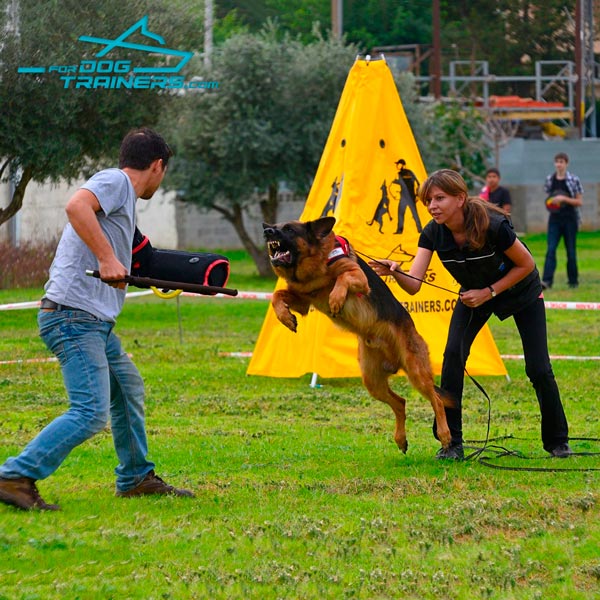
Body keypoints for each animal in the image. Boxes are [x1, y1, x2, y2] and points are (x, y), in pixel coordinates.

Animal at [262, 218, 450, 452]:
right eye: (276, 226)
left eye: (288, 229)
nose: (266, 230)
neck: (316, 266)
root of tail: (394, 361)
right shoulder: (304, 300)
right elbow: (277, 296)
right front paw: (285, 317)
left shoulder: (358, 276)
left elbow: (342, 277)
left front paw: (336, 299)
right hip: (372, 381)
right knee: (400, 402)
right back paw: (401, 439)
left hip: (416, 372)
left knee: (437, 400)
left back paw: (444, 434)